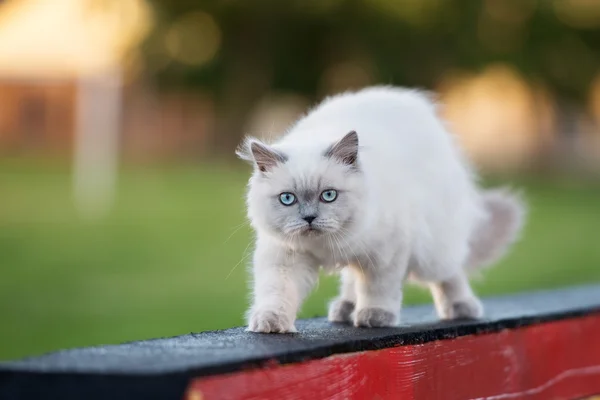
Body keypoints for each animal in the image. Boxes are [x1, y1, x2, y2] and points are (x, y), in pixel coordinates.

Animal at [234, 86, 524, 332]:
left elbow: (377, 289)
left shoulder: (385, 254)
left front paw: (374, 316)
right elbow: (276, 292)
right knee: (352, 279)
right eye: (287, 199)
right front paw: (270, 323)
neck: (325, 246)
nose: (309, 218)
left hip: (433, 252)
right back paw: (345, 309)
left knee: (451, 273)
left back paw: (461, 307)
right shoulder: (284, 258)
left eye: (328, 195)